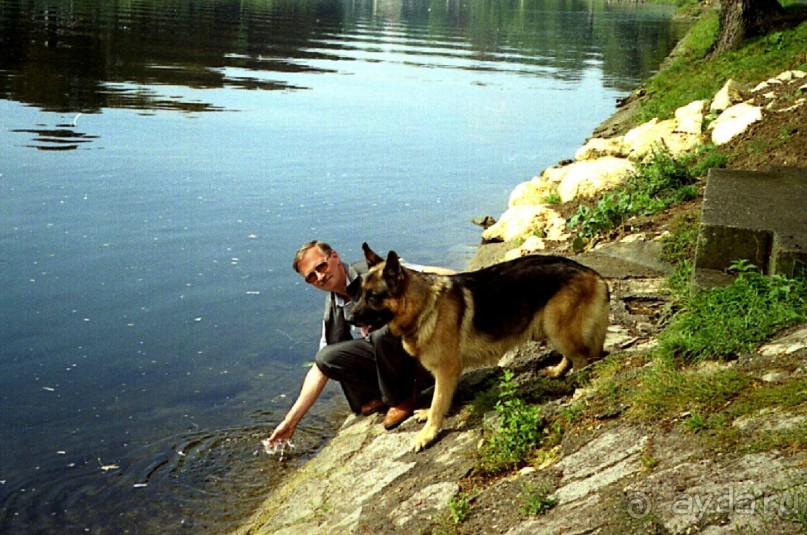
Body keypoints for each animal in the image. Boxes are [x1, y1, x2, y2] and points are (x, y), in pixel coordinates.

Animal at [350, 244, 608, 452]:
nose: (351, 318)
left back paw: (578, 385)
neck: (423, 305)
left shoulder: (446, 369)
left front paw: (428, 434)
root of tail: (592, 273)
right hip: (548, 327)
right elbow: (439, 400)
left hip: (557, 328)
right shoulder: (445, 372)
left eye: (373, 296)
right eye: (360, 294)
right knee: (573, 355)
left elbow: (437, 402)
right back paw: (557, 370)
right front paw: (429, 416)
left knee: (582, 359)